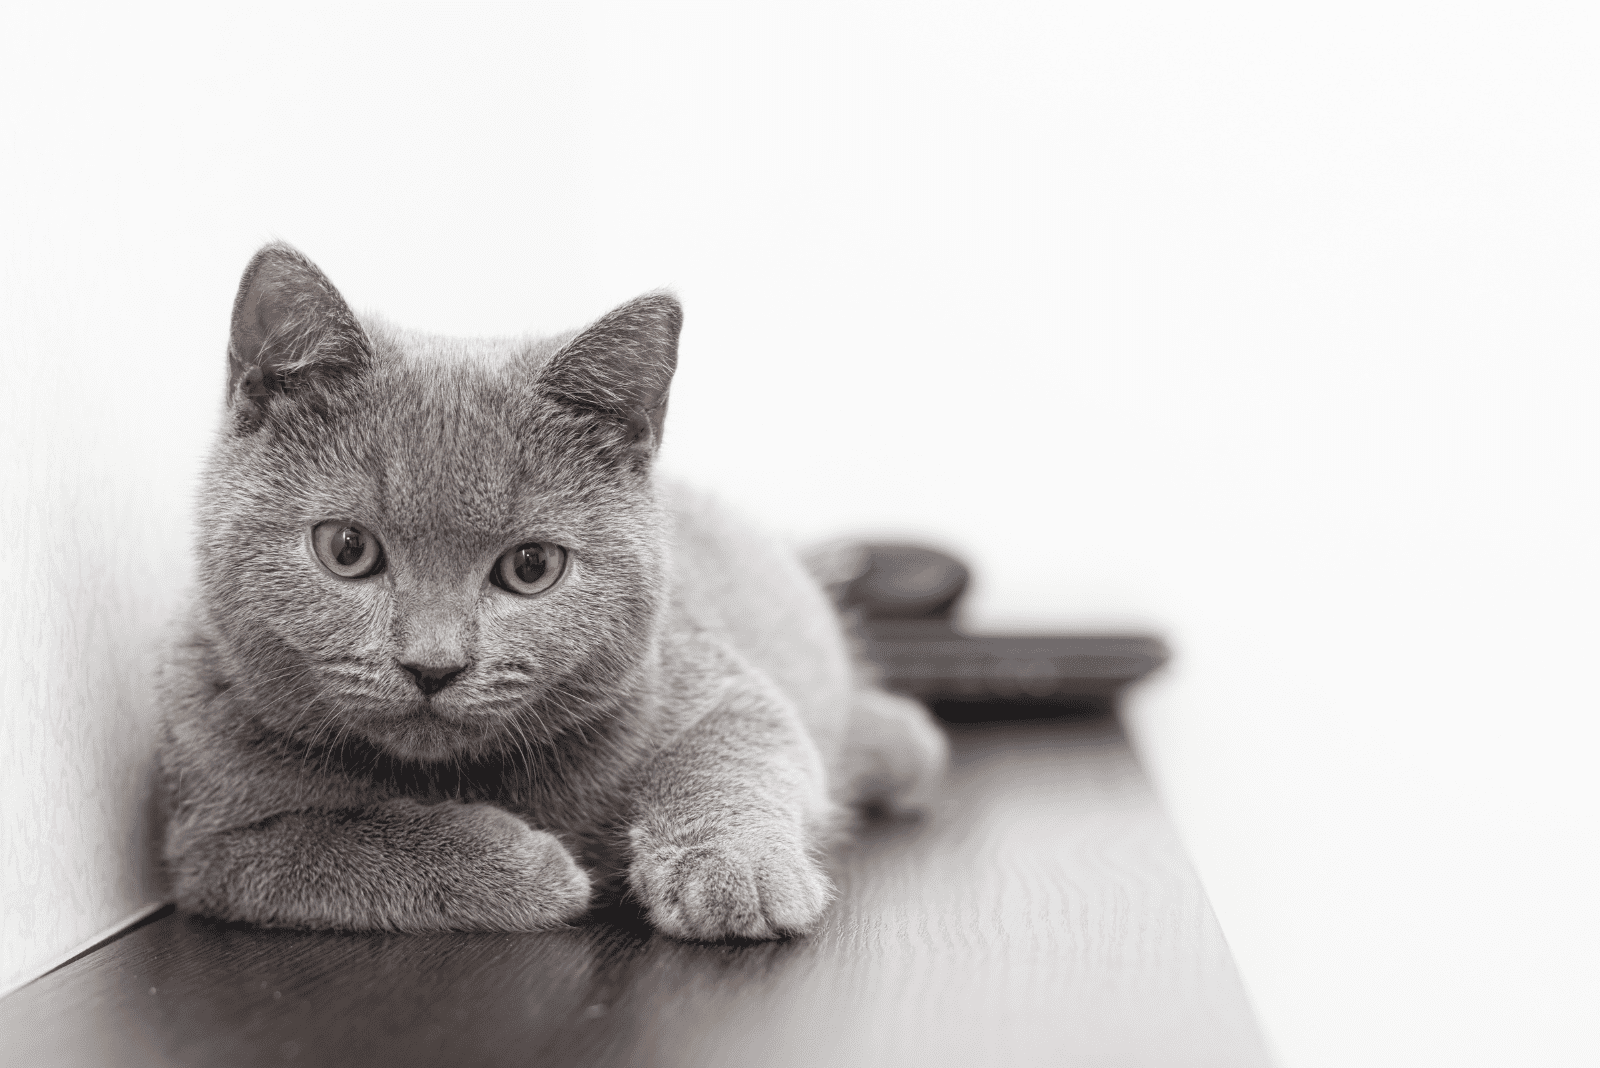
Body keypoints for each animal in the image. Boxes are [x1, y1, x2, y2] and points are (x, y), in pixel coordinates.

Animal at [154, 244, 940, 940]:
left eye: (530, 566)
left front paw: (734, 872)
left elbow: (737, 756)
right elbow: (325, 843)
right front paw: (532, 866)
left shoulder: (713, 686)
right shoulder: (208, 850)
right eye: (347, 549)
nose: (433, 666)